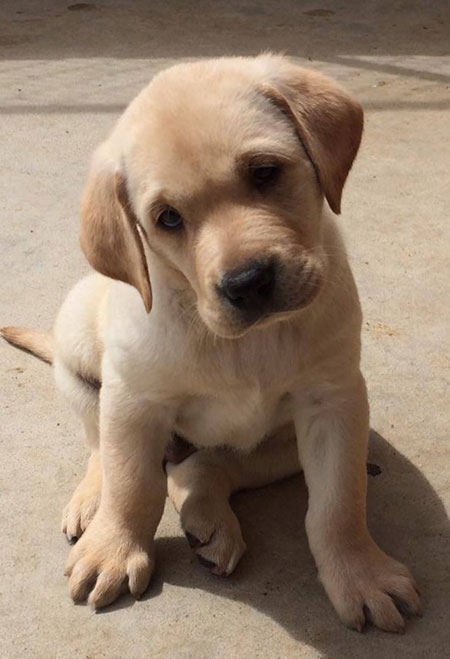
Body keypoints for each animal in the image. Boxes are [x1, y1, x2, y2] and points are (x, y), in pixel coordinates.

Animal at [1, 54, 420, 632]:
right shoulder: (133, 400)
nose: (248, 282)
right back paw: (92, 504)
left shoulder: (335, 402)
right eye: (167, 218)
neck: (242, 339)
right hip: (78, 353)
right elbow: (131, 484)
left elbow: (338, 503)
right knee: (101, 449)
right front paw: (114, 549)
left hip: (288, 444)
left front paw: (360, 574)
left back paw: (208, 517)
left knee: (202, 469)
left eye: (264, 172)